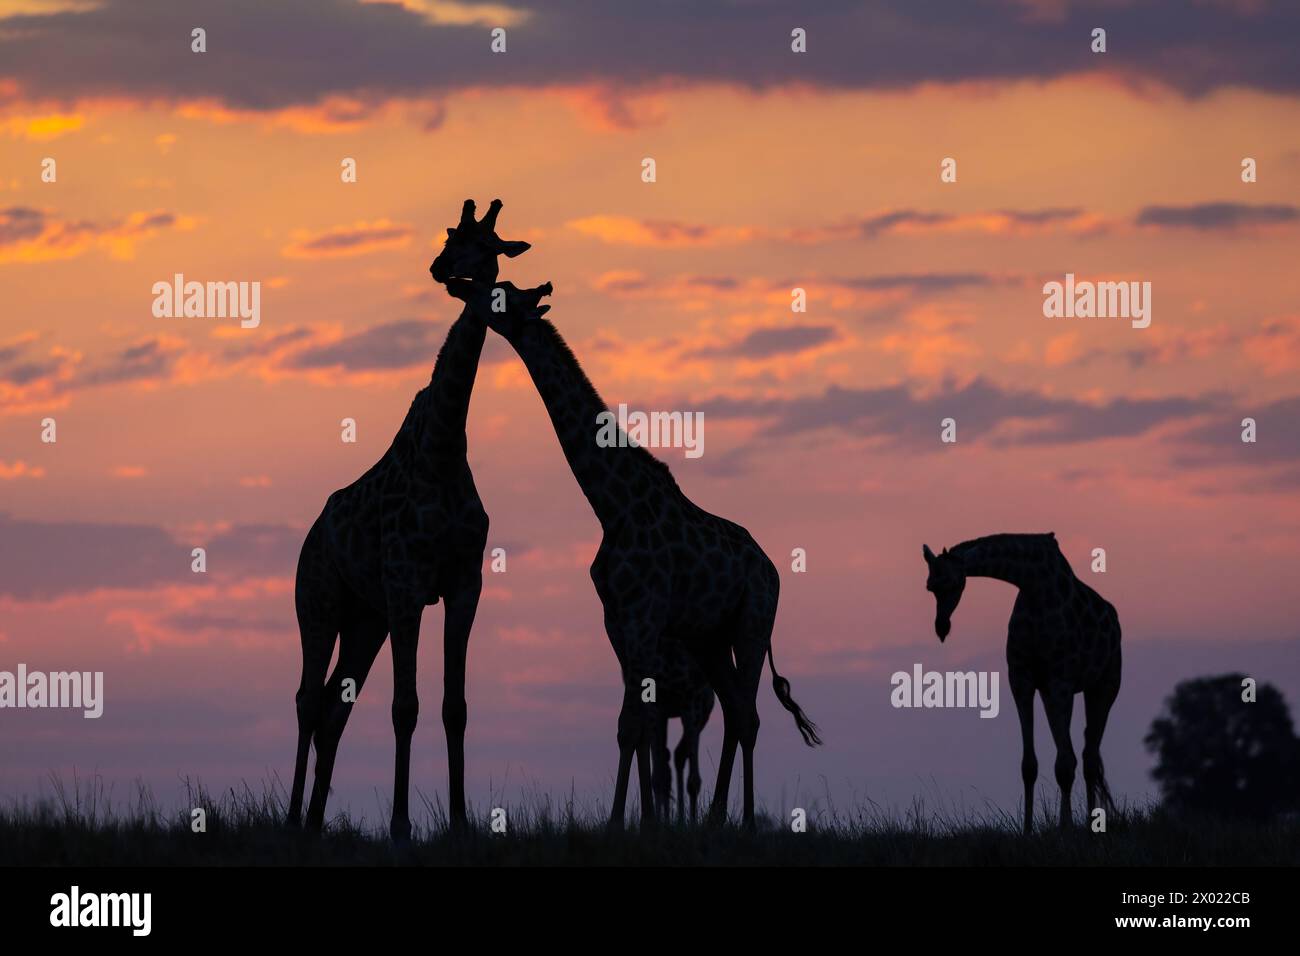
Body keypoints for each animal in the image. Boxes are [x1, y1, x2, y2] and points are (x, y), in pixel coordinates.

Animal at [284, 197, 527, 842]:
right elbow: (405, 708)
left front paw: (461, 821)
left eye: (483, 243)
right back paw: (290, 819)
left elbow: (453, 707)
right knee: (307, 701)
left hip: (365, 619)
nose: (441, 269)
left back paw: (314, 822)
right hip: (318, 602)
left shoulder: (464, 583)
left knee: (334, 707)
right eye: (449, 236)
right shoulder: (406, 586)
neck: (443, 448)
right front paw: (399, 825)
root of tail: (310, 538)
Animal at [441, 277, 816, 832]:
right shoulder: (616, 620)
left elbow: (632, 724)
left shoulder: (642, 616)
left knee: (748, 714)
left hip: (753, 623)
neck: (611, 505)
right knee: (733, 709)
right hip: (710, 638)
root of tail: (772, 570)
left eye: (502, 295)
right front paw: (634, 822)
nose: (463, 285)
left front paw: (622, 823)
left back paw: (745, 822)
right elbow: (632, 725)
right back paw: (716, 818)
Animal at [920, 535, 1123, 832]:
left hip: (1104, 686)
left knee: (1088, 757)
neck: (1033, 584)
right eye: (930, 586)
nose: (941, 627)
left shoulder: (1061, 681)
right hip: (1055, 693)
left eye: (952, 582)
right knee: (1084, 753)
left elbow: (1065, 763)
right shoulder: (1022, 681)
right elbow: (1029, 765)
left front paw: (1065, 829)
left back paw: (1090, 825)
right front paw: (1027, 830)